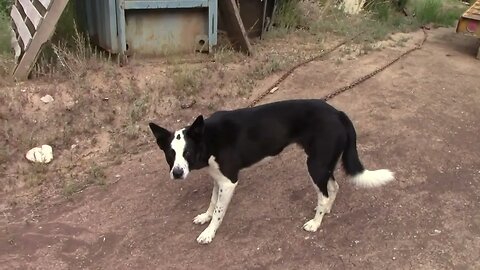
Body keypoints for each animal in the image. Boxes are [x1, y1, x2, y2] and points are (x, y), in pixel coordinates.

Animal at [149, 99, 394, 245]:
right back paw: (325, 211)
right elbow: (212, 202)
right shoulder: (218, 178)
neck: (208, 137)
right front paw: (205, 217)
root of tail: (338, 113)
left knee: (324, 193)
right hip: (323, 164)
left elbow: (219, 210)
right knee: (333, 187)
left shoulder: (229, 181)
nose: (177, 173)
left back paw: (315, 223)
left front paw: (209, 232)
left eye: (187, 153)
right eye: (170, 154)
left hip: (315, 165)